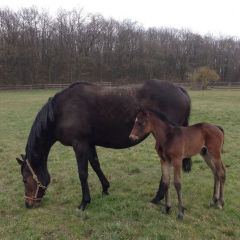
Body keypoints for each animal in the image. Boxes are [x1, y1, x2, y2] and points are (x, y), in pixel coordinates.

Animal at [15, 79, 191, 209]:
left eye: (25, 180)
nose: (28, 204)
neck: (61, 111)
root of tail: (179, 89)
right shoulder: (88, 144)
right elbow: (95, 165)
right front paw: (105, 188)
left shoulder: (79, 144)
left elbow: (83, 173)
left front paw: (84, 202)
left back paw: (158, 197)